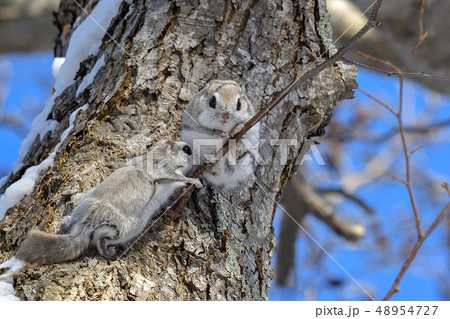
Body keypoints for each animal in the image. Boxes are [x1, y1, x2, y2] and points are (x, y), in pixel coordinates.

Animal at [15, 142, 202, 264]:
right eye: (187, 149)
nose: (201, 157)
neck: (159, 154)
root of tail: (88, 222)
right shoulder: (163, 169)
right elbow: (177, 177)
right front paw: (195, 181)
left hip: (84, 202)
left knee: (74, 219)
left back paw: (67, 221)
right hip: (120, 229)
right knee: (101, 238)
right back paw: (107, 250)